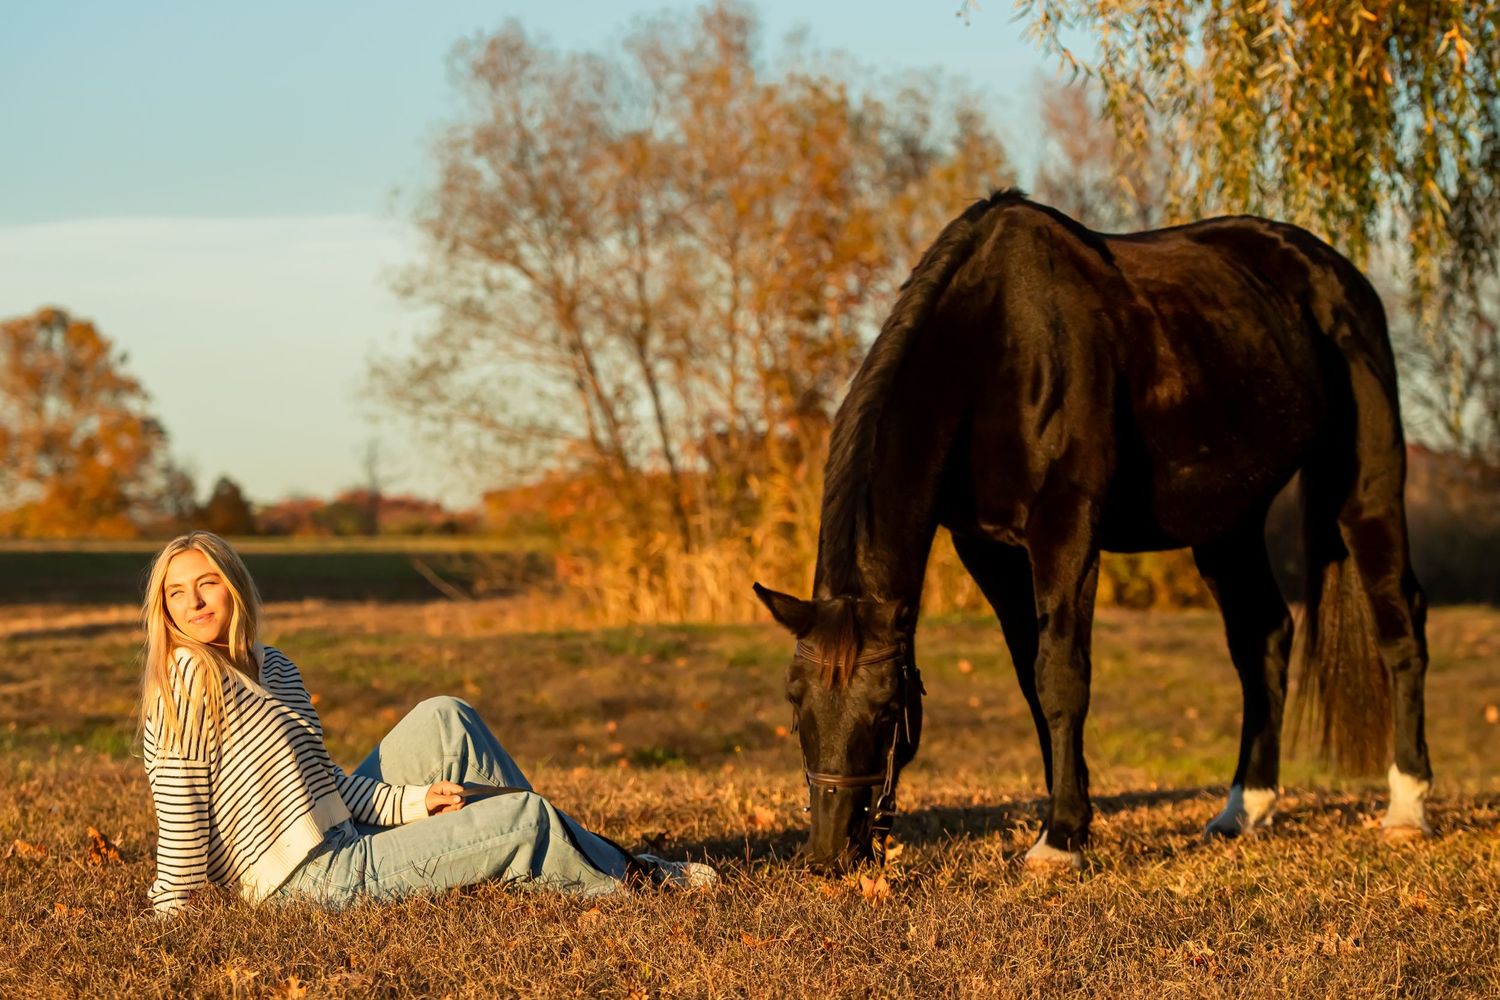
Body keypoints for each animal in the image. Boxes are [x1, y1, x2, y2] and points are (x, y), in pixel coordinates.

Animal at [753, 189, 1432, 871]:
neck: (995, 346)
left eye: (888, 708)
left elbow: (1061, 675)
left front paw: (1060, 840)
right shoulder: (989, 550)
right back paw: (1246, 808)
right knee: (1263, 636)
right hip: (1227, 520)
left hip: (1365, 487)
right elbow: (1032, 681)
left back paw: (1406, 808)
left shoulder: (1066, 529)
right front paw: (1073, 818)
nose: (829, 852)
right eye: (793, 700)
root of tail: (1336, 272)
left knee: (1398, 622)